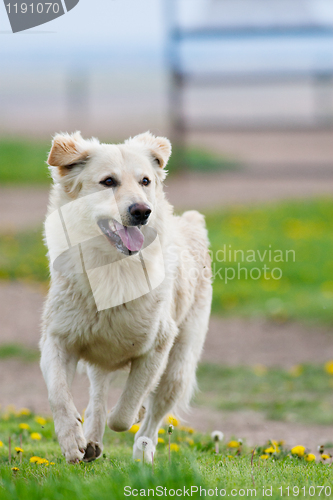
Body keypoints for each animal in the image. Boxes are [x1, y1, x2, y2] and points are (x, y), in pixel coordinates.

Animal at [40, 131, 211, 462]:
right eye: (108, 181)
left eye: (145, 181)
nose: (142, 211)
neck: (111, 268)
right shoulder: (58, 338)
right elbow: (58, 393)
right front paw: (71, 440)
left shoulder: (157, 347)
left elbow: (124, 412)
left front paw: (132, 413)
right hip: (98, 360)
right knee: (97, 396)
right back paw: (91, 440)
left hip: (178, 368)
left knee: (152, 419)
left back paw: (143, 450)